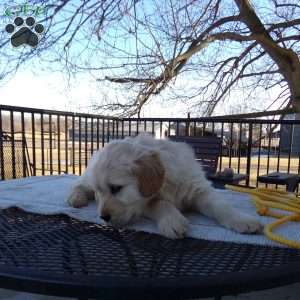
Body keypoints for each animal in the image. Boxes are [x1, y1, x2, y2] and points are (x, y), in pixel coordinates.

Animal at [66, 134, 262, 239]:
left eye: (116, 188)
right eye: (101, 192)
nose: (103, 217)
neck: (167, 183)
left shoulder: (199, 189)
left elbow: (221, 206)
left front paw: (242, 220)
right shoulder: (143, 203)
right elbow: (161, 203)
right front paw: (173, 220)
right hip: (88, 177)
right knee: (79, 184)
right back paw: (76, 198)